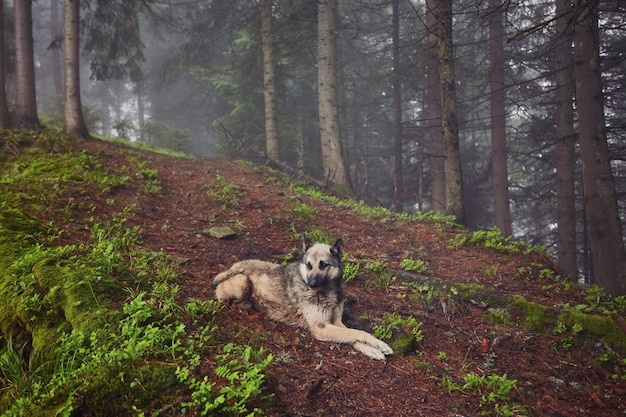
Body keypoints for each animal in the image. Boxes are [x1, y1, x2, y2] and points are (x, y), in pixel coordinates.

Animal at [212, 236, 392, 360]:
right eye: (308, 265)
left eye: (323, 265)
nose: (311, 284)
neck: (328, 292)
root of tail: (234, 266)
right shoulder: (321, 328)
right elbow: (358, 332)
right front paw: (379, 345)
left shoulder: (335, 322)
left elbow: (353, 335)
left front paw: (375, 349)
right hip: (242, 281)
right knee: (225, 299)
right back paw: (243, 307)